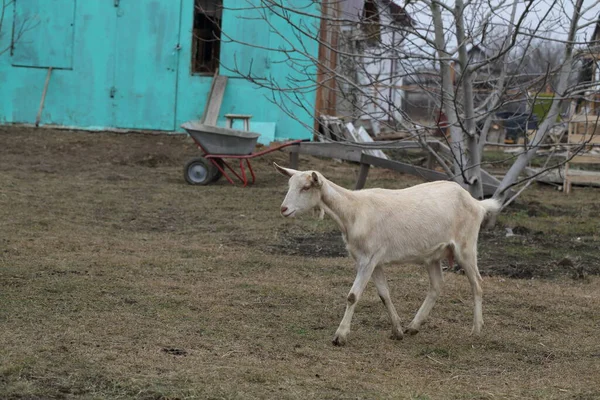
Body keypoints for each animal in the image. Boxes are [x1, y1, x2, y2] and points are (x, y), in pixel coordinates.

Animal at [276, 164, 502, 346]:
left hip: (466, 246)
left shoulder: (368, 259)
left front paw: (340, 336)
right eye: (289, 185)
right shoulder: (374, 261)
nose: (283, 209)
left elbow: (352, 296)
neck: (353, 211)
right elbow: (384, 295)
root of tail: (477, 203)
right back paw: (413, 326)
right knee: (437, 285)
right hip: (433, 254)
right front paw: (397, 331)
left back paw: (476, 330)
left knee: (477, 284)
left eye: (306, 188)